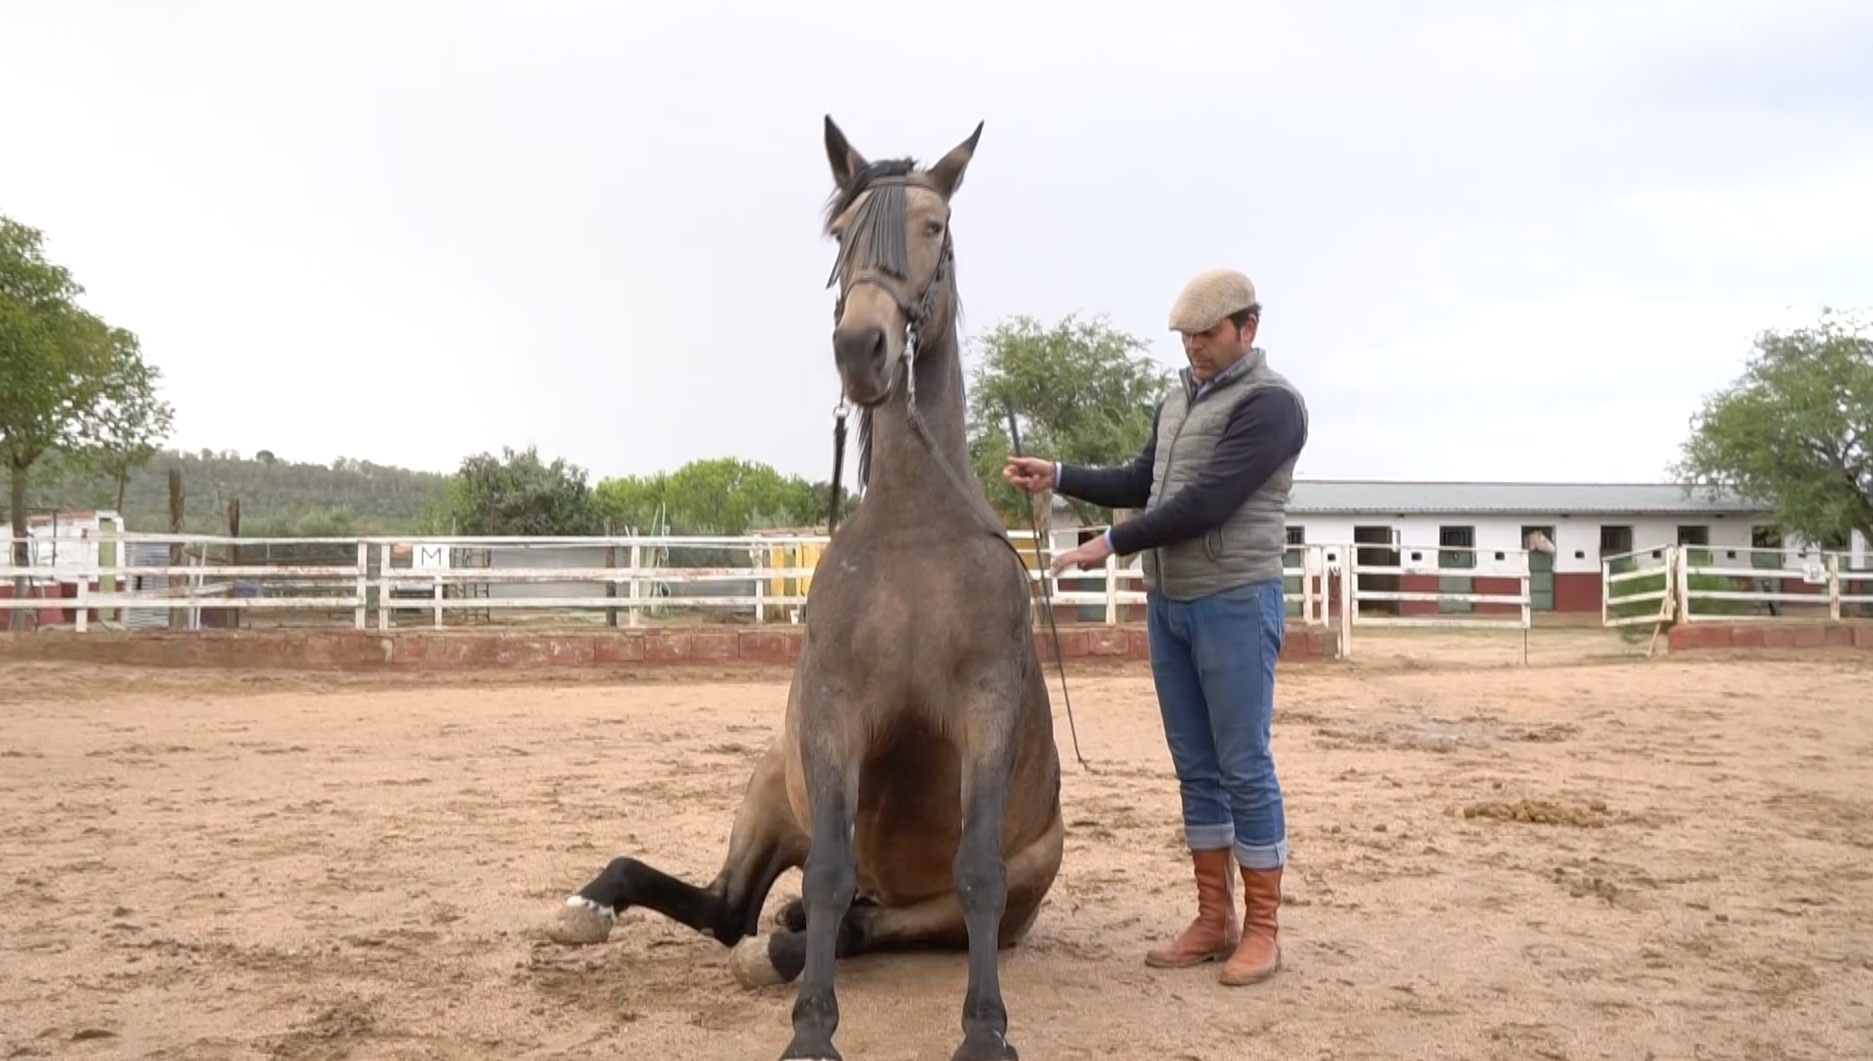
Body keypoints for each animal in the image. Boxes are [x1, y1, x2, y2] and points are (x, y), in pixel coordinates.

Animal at [545, 115, 1065, 1061]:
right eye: (841, 235)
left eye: (934, 227)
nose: (861, 347)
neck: (912, 534)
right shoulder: (831, 715)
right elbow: (824, 874)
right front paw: (811, 1034)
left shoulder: (986, 713)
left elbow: (971, 871)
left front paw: (984, 1033)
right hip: (769, 786)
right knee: (732, 908)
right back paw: (593, 903)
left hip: (1007, 879)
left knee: (865, 923)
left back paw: (778, 944)